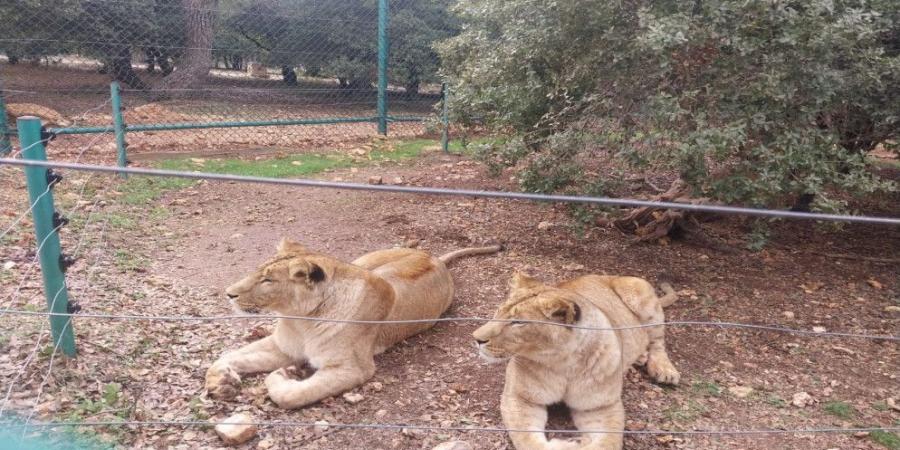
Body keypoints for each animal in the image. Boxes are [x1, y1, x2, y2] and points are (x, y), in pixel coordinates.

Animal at [205, 237, 502, 410]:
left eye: (268, 280)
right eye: (258, 272)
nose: (229, 293)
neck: (299, 319)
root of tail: (435, 258)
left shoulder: (354, 368)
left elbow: (292, 396)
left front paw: (284, 375)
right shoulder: (283, 346)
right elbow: (228, 356)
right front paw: (221, 382)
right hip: (364, 262)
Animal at [474, 270, 680, 450]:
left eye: (518, 322)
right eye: (498, 311)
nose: (476, 338)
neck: (564, 363)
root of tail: (606, 275)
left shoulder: (601, 407)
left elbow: (608, 443)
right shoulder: (519, 397)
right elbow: (527, 440)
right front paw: (568, 444)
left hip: (638, 290)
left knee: (657, 340)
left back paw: (665, 371)